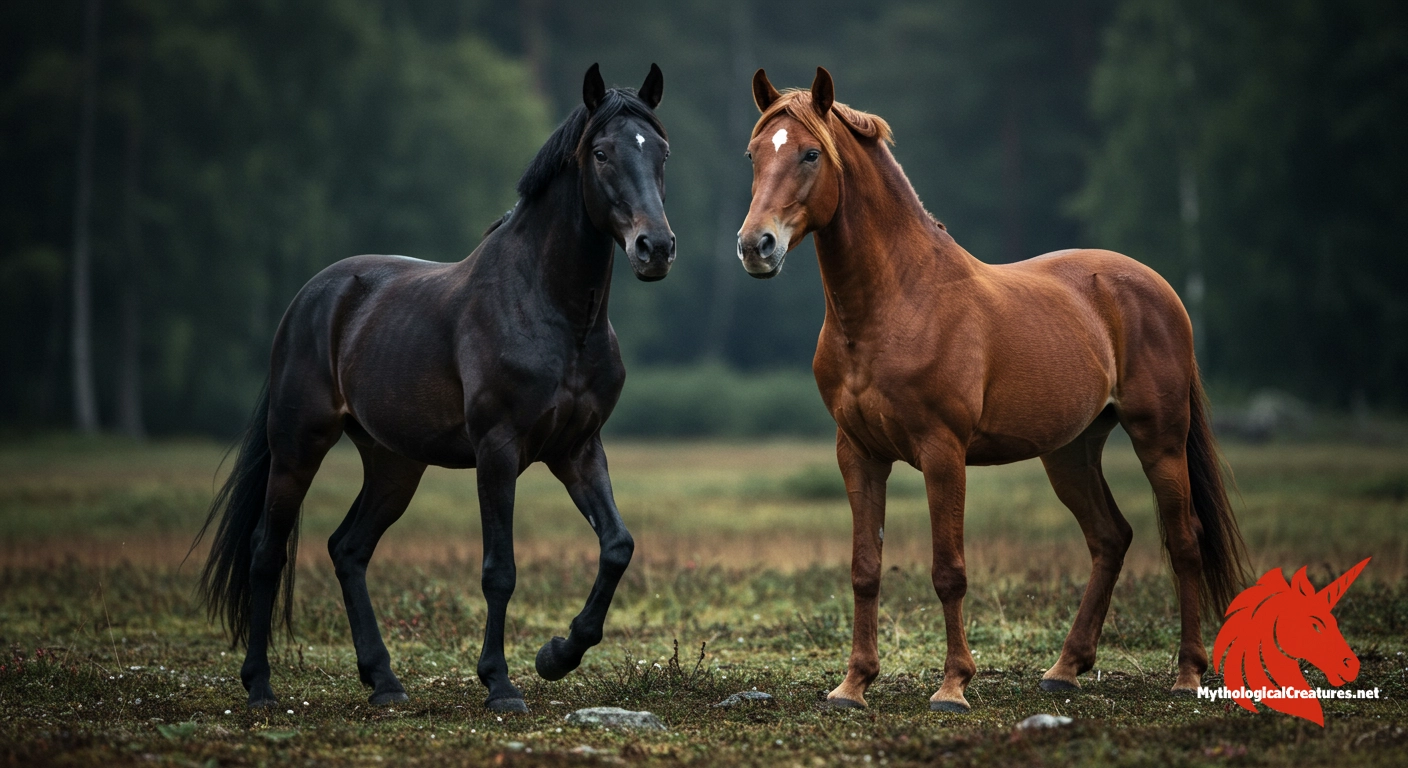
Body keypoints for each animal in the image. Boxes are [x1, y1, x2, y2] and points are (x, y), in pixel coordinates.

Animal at [193, 64, 674, 713]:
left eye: (661, 153)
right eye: (601, 153)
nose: (656, 248)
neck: (554, 312)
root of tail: (310, 298)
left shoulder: (577, 449)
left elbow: (617, 546)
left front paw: (557, 655)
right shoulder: (498, 450)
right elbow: (500, 569)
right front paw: (500, 685)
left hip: (394, 464)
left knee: (348, 549)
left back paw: (384, 682)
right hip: (297, 446)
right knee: (267, 550)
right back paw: (261, 687)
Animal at [736, 67, 1248, 712]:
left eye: (810, 153)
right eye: (754, 154)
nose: (756, 246)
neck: (895, 302)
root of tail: (1159, 288)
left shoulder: (942, 452)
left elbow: (948, 571)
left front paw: (953, 686)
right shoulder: (858, 454)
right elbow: (864, 569)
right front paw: (853, 685)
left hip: (1159, 439)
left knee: (1183, 541)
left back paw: (1185, 674)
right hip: (1071, 451)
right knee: (1111, 538)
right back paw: (1064, 669)